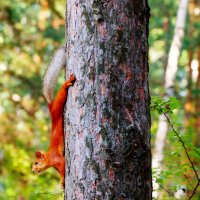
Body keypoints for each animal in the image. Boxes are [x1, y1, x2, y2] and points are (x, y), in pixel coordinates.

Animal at [31, 45, 75, 188]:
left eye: (36, 163)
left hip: (59, 104)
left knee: (62, 92)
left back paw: (67, 82)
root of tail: (50, 107)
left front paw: (62, 180)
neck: (49, 158)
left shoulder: (57, 159)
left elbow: (63, 167)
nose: (33, 171)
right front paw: (61, 182)